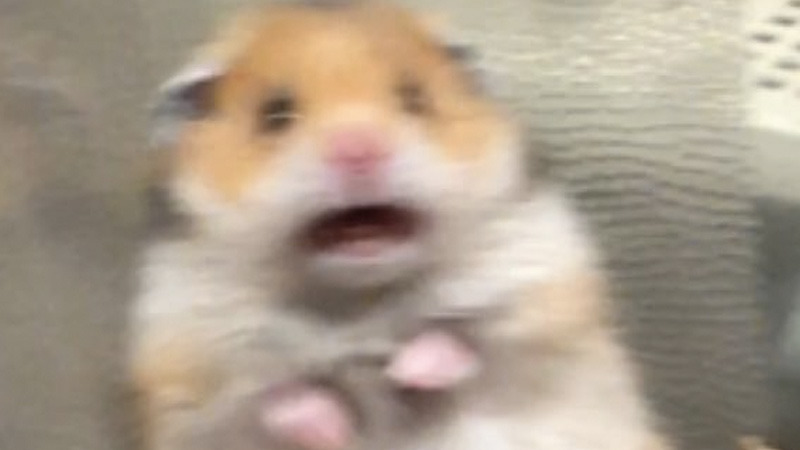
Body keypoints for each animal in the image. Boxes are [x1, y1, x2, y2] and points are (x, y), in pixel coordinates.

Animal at [129, 2, 672, 450]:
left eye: (414, 99)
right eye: (274, 114)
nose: (360, 150)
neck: (360, 299)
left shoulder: (548, 291)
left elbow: (468, 336)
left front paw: (410, 372)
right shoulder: (187, 363)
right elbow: (275, 396)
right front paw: (332, 432)